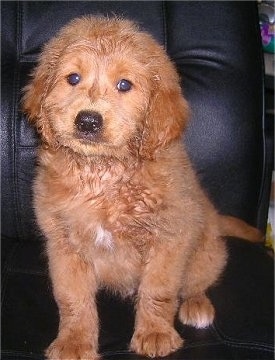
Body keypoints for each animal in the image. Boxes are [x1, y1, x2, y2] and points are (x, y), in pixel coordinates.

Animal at [22, 14, 264, 360]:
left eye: (125, 85)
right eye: (73, 78)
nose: (88, 121)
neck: (104, 175)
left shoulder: (170, 236)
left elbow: (159, 290)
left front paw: (155, 333)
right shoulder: (63, 244)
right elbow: (73, 299)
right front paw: (75, 342)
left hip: (206, 253)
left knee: (196, 283)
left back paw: (197, 305)